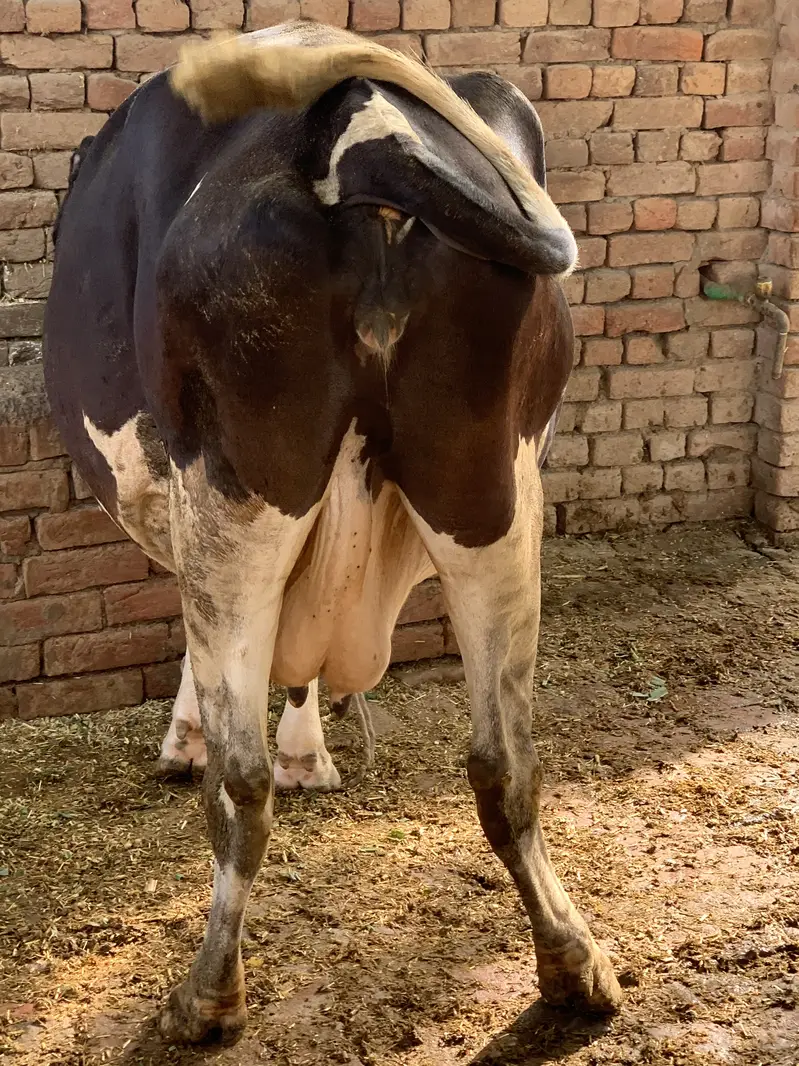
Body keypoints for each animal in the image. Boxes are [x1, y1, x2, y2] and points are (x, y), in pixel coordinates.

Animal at [44, 20, 622, 1045]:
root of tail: (360, 116)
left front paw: (201, 740)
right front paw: (312, 753)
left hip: (238, 488)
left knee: (240, 787)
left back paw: (206, 998)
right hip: (491, 487)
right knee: (505, 761)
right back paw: (573, 965)